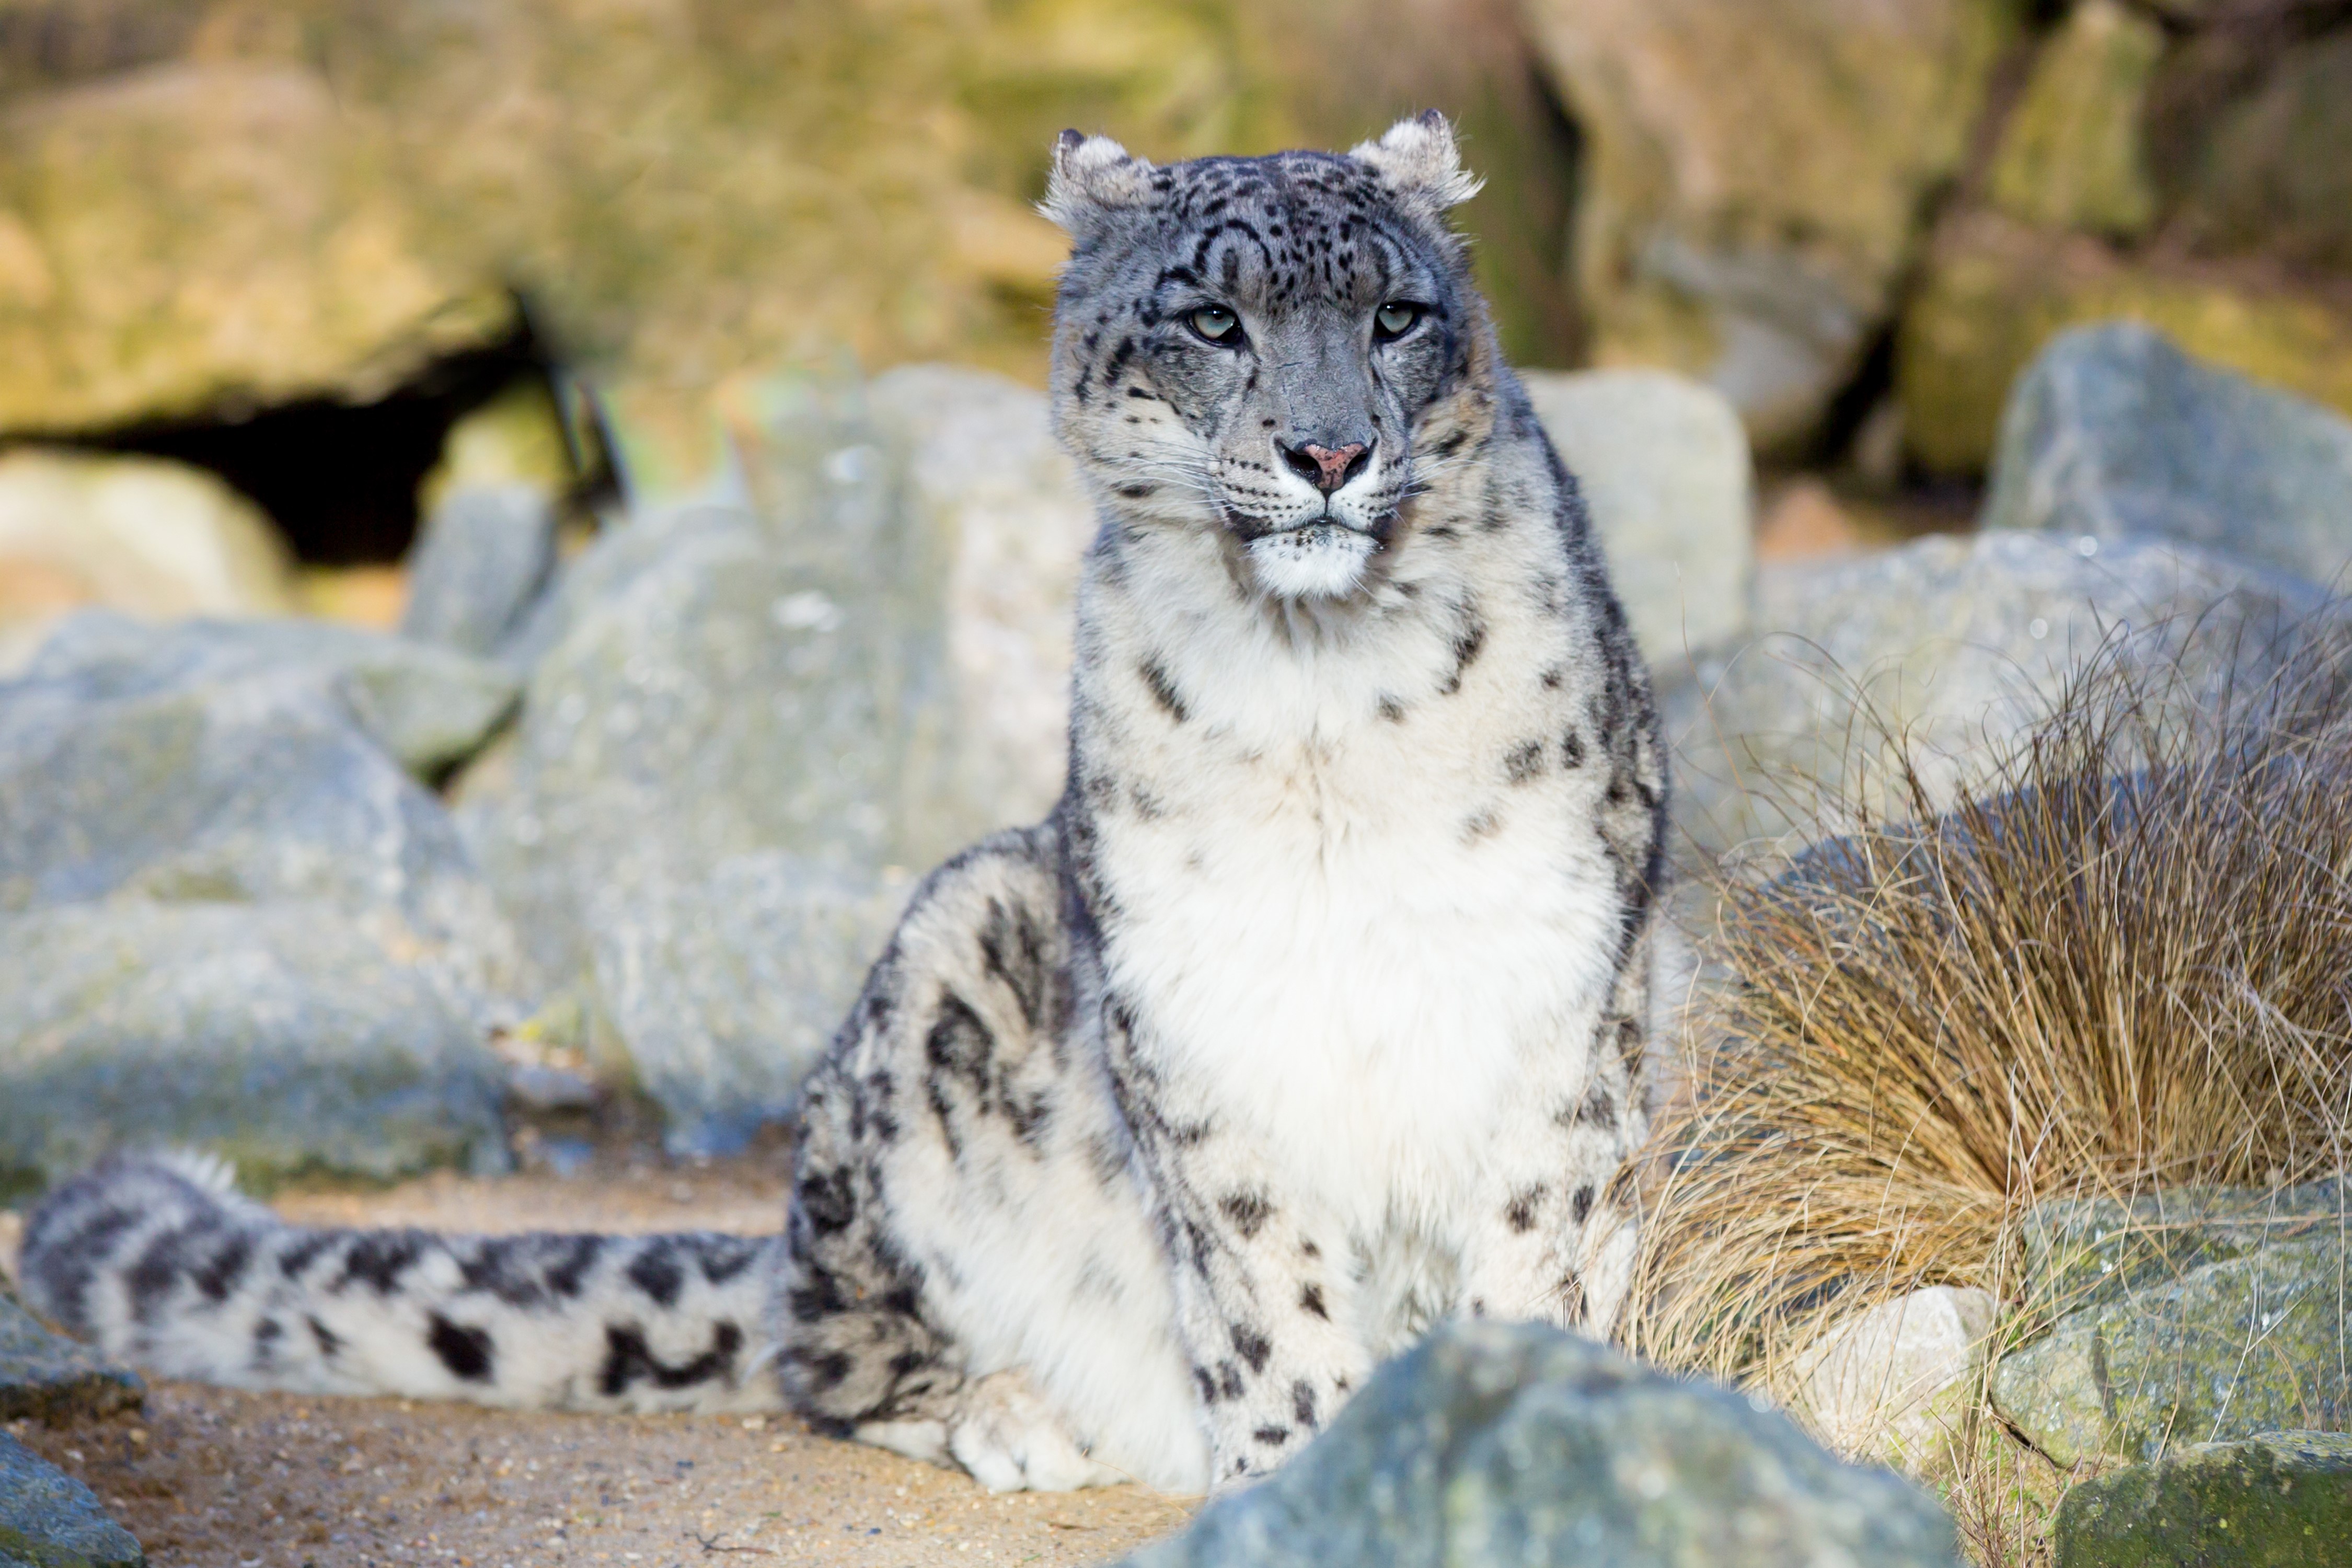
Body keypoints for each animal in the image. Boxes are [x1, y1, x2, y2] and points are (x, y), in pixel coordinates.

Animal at [18, 112, 1668, 1497]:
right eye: (1214, 320)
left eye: (1396, 317)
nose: (1329, 451)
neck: (1321, 704)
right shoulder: (1196, 1005)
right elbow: (1263, 1281)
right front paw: (1295, 1465)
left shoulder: (1560, 982)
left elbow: (1546, 1233)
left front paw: (1513, 1400)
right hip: (942, 958)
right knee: (827, 1337)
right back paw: (1016, 1412)